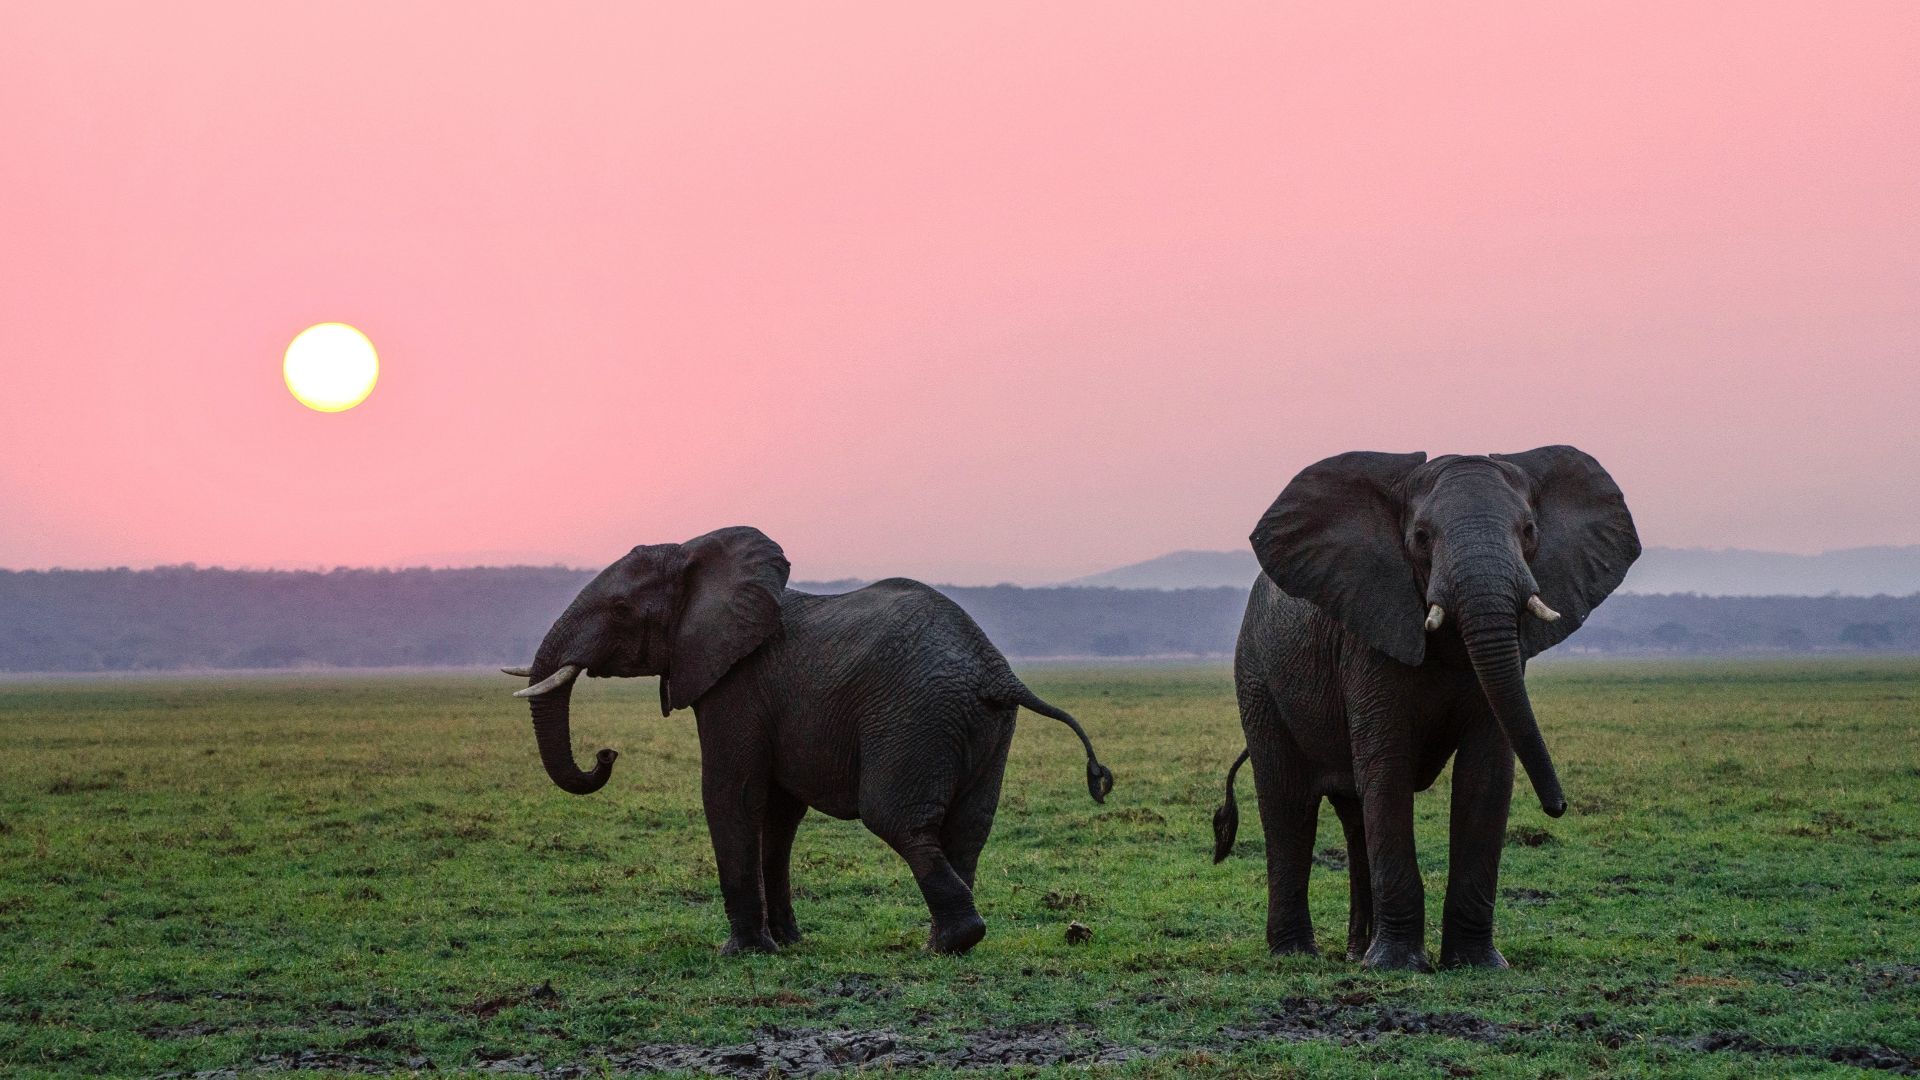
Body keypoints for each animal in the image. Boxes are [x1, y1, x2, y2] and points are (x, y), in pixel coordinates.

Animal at [504, 526, 1114, 956]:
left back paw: (948, 943)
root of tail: (996, 671)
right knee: (967, 829)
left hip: (915, 717)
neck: (696, 555)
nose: (606, 754)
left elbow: (731, 794)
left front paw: (742, 952)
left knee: (895, 819)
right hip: (983, 726)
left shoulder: (737, 685)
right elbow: (778, 814)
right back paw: (945, 943)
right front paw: (788, 944)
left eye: (620, 610)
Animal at [1210, 446, 1638, 970]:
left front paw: (1477, 965)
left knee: (1354, 814)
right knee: (1289, 803)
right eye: (1420, 537)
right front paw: (1395, 966)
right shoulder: (1370, 633)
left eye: (1529, 531)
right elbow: (1388, 769)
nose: (1558, 807)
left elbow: (1486, 774)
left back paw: (1356, 953)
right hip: (1258, 678)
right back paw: (1298, 955)